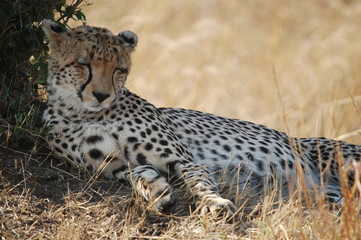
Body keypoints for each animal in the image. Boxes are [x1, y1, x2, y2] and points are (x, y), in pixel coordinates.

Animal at [42, 19, 360, 217]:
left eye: (119, 69)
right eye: (84, 64)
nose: (101, 94)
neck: (84, 112)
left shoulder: (182, 158)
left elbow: (199, 180)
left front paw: (213, 203)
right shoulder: (114, 167)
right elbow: (140, 174)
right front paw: (156, 192)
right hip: (325, 194)